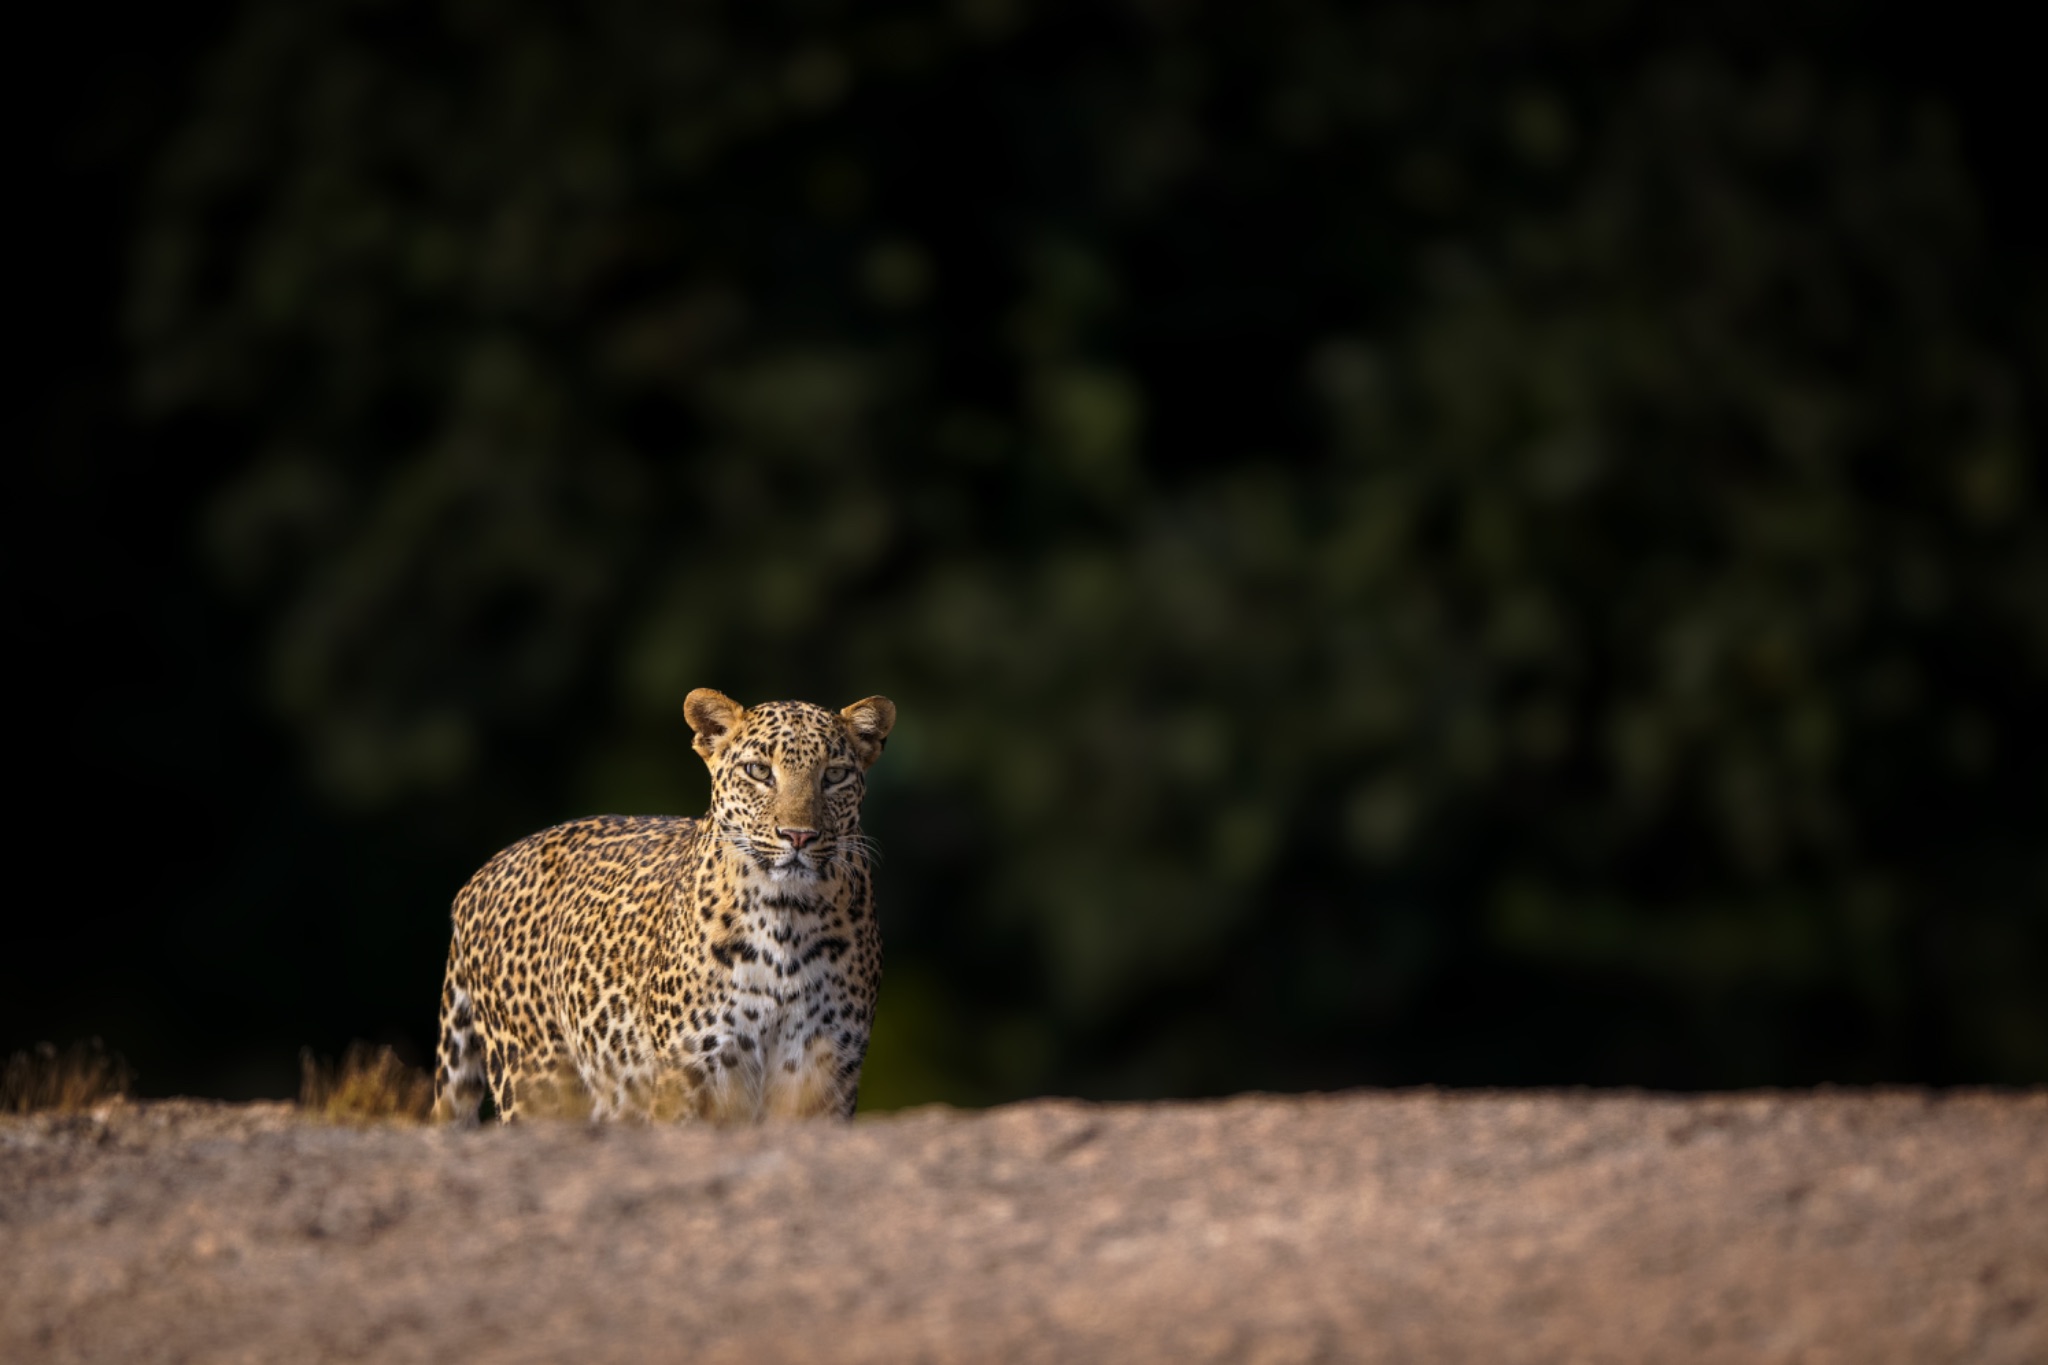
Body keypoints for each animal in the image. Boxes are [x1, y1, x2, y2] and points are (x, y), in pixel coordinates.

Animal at [433, 688, 896, 1124]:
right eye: (759, 771)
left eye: (834, 775)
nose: (798, 836)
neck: (786, 919)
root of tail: (476, 879)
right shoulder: (691, 1072)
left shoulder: (825, 1074)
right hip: (538, 1082)